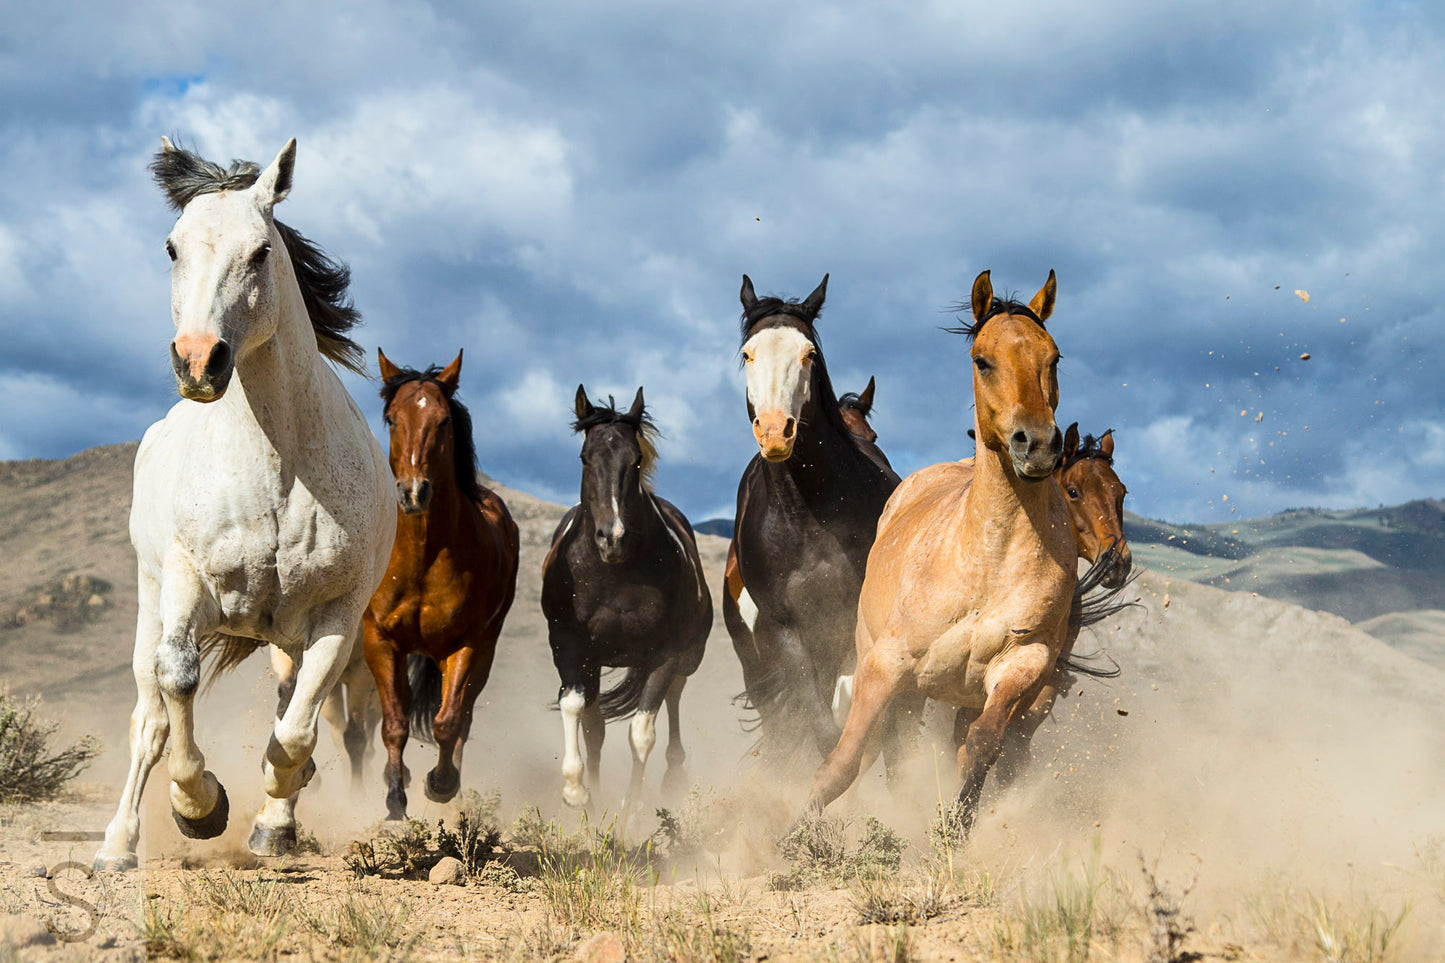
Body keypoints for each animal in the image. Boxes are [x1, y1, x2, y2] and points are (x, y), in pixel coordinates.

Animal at [94, 136, 395, 867]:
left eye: (260, 252)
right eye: (172, 248)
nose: (199, 361)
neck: (279, 470)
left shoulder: (338, 618)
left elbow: (295, 734)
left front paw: (271, 822)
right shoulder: (185, 581)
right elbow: (176, 682)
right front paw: (199, 806)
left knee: (290, 712)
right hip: (150, 598)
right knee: (147, 717)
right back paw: (117, 844)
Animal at [364, 348, 523, 815]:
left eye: (443, 420)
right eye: (392, 418)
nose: (414, 492)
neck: (420, 558)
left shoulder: (465, 644)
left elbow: (448, 722)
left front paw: (441, 784)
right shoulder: (379, 639)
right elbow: (395, 722)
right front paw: (395, 796)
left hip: (484, 649)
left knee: (463, 716)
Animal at [540, 381, 708, 809]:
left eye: (635, 461)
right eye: (585, 458)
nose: (611, 536)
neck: (615, 572)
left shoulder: (667, 652)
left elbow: (642, 733)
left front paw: (632, 810)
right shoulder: (569, 644)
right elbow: (576, 708)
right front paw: (577, 790)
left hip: (688, 656)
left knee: (674, 697)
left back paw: (674, 773)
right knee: (595, 725)